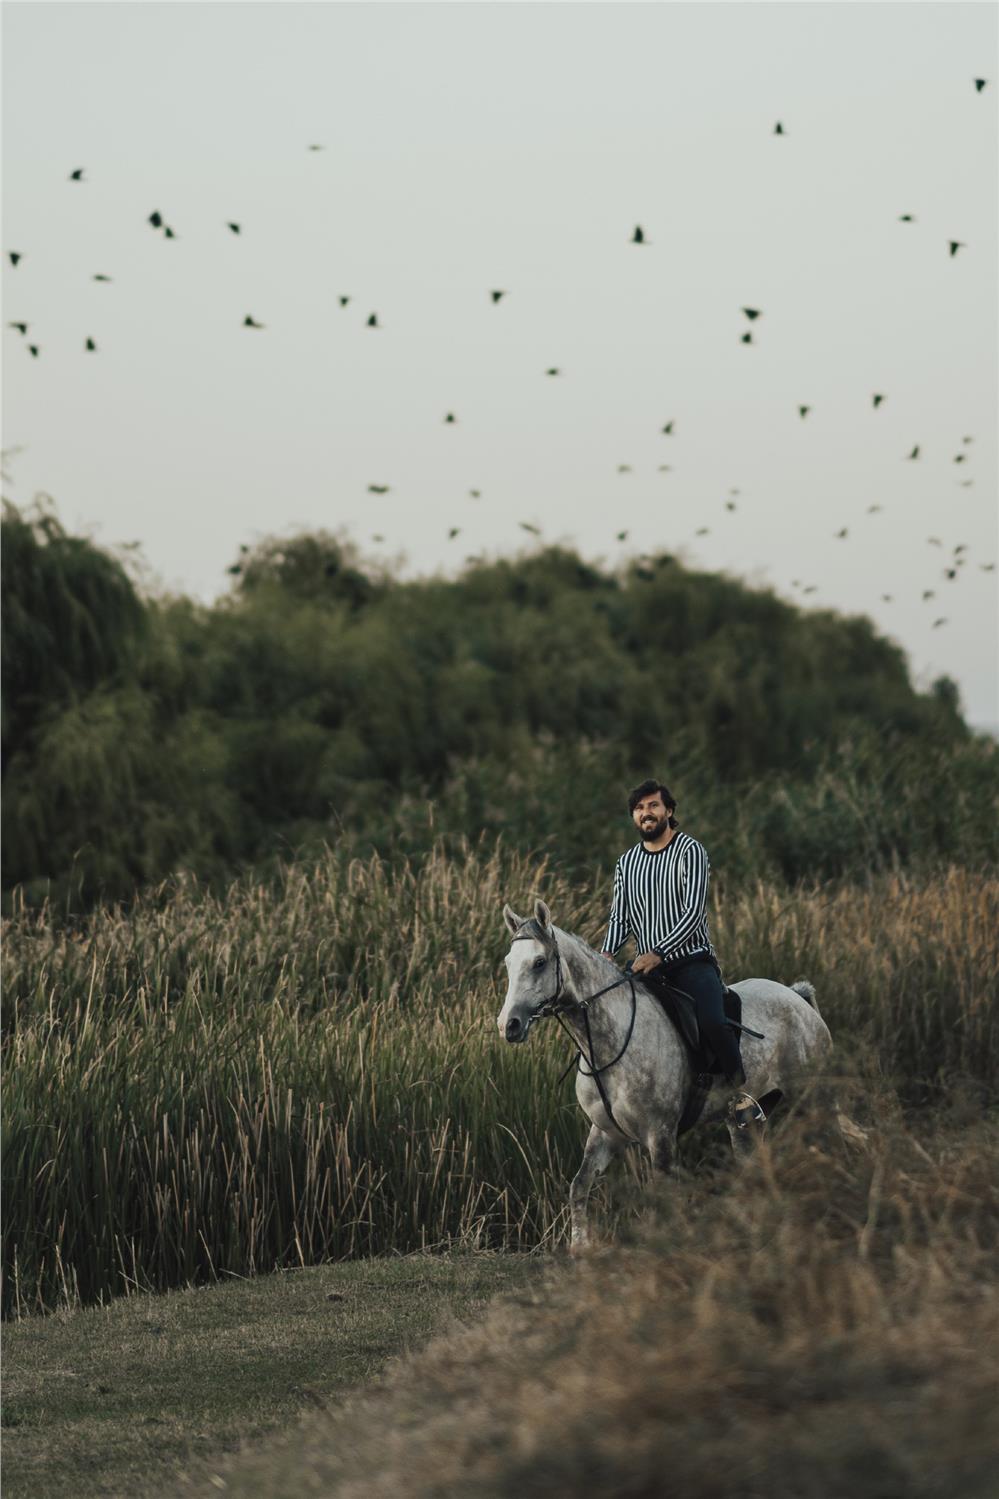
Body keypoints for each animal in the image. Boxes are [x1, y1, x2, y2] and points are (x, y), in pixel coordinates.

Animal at [498, 899, 834, 1253]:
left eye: (539, 962)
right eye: (508, 962)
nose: (509, 1025)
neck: (612, 1041)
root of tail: (798, 998)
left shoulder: (660, 1135)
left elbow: (663, 1199)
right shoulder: (605, 1131)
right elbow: (580, 1185)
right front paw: (580, 1249)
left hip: (814, 1099)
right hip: (745, 1122)